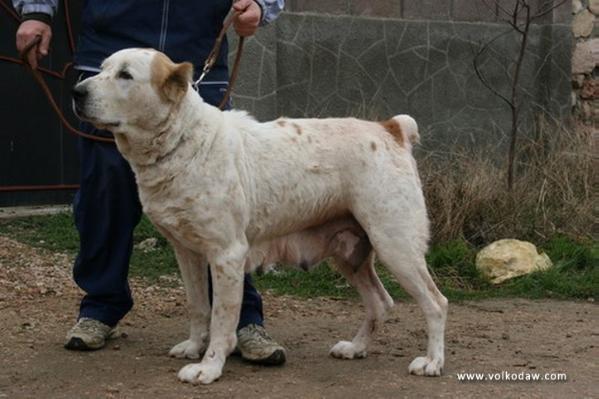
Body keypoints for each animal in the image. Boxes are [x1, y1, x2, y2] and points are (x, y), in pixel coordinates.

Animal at [72, 48, 448, 386]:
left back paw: (431, 362)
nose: (77, 91)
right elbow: (198, 307)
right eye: (101, 68)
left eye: (125, 75)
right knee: (380, 303)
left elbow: (222, 319)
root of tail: (390, 129)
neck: (183, 141)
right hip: (350, 255)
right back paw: (355, 348)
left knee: (436, 303)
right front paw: (194, 346)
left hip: (395, 245)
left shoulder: (227, 255)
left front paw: (209, 367)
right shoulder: (187, 252)